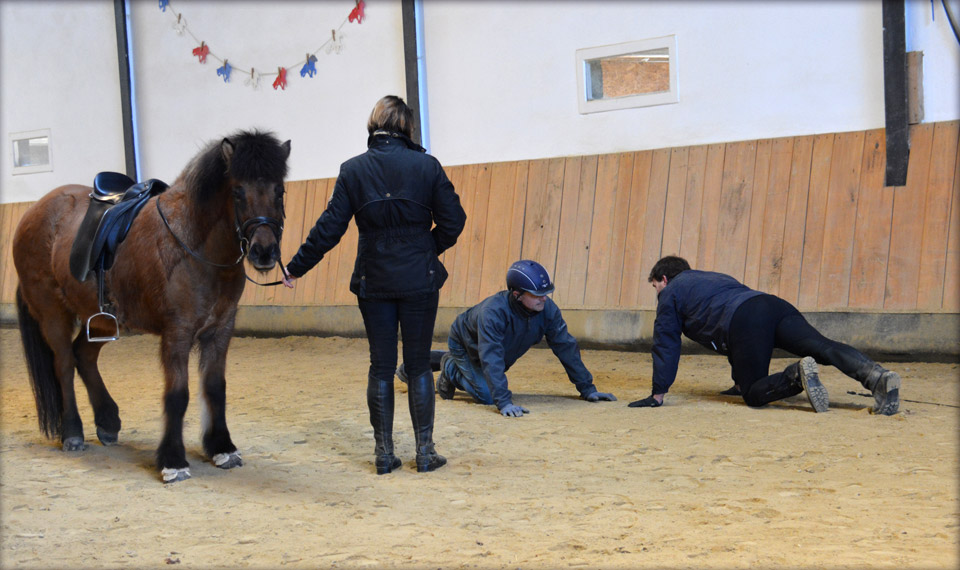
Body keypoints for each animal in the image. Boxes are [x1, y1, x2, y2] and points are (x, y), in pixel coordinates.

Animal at [12, 129, 288, 480]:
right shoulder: (177, 333)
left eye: (279, 190)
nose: (264, 251)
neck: (194, 244)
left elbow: (215, 388)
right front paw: (173, 461)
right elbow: (177, 395)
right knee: (63, 364)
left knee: (83, 356)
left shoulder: (220, 329)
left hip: (101, 318)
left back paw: (108, 422)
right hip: (53, 313)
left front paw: (222, 448)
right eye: (238, 191)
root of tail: (33, 213)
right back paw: (72, 433)